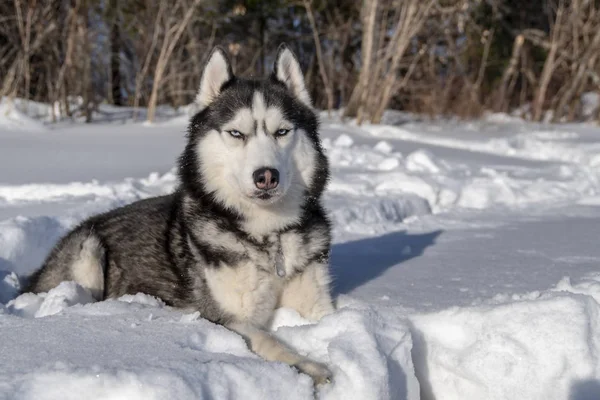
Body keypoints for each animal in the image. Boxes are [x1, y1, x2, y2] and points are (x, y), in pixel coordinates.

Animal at [25, 44, 336, 384]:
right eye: (236, 133)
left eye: (282, 132)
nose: (266, 176)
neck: (267, 235)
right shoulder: (223, 317)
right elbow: (267, 340)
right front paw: (309, 366)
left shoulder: (314, 302)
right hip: (88, 250)